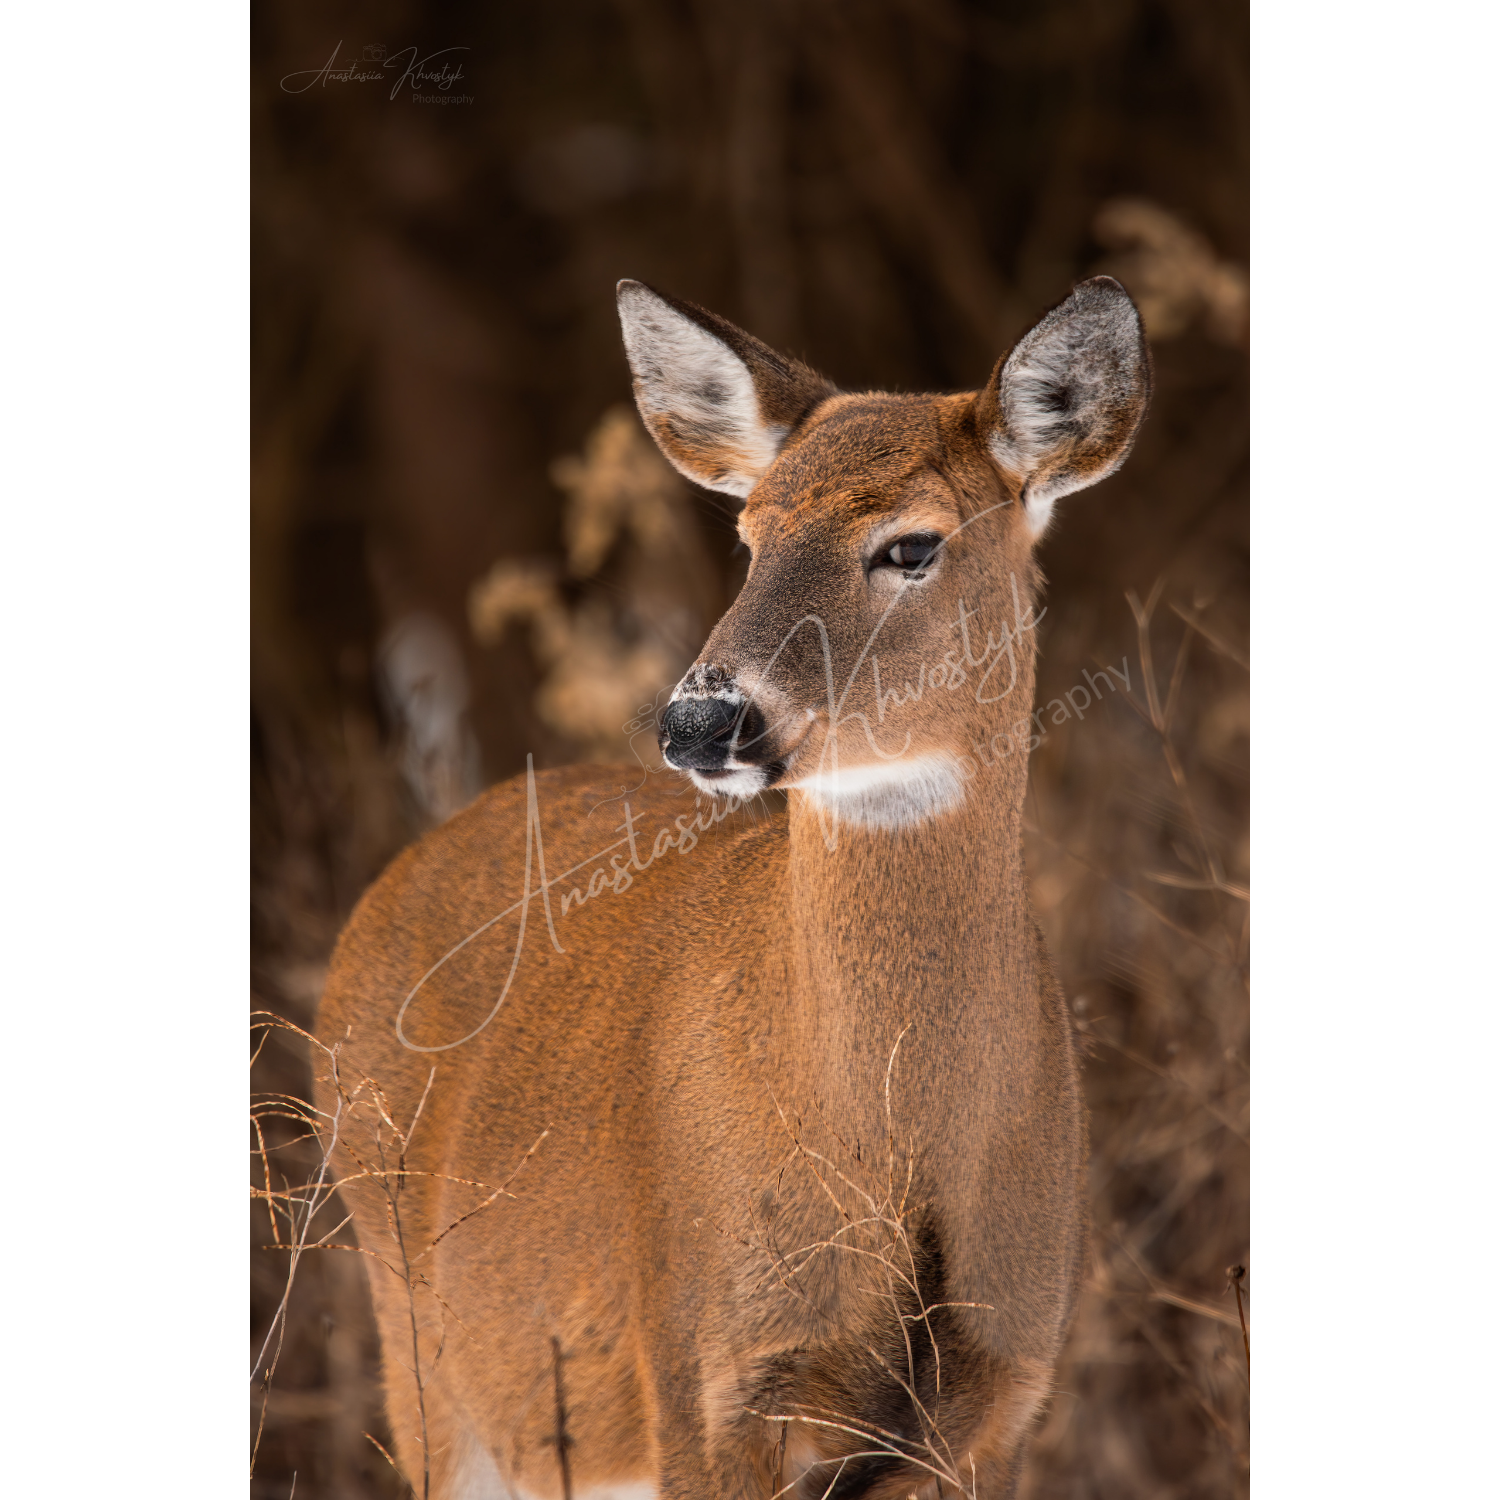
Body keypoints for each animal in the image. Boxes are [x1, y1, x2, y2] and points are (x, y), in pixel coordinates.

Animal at [315, 274, 1150, 1500]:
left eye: (911, 545)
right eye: (752, 533)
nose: (703, 718)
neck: (893, 1157)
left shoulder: (1004, 1395)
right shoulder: (696, 1364)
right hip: (424, 1351)